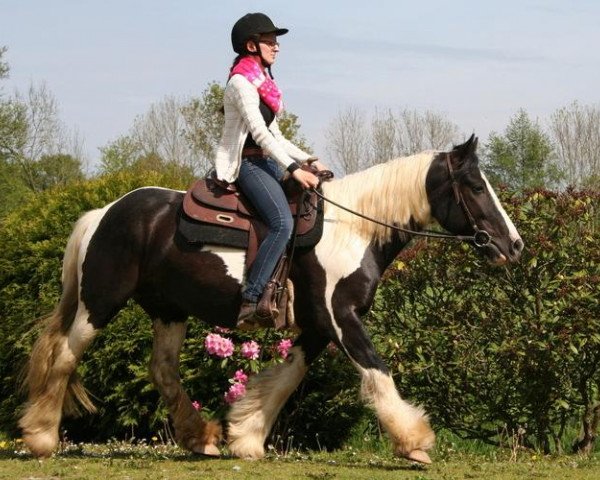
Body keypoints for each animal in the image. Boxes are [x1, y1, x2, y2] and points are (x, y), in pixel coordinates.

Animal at [21, 134, 524, 462]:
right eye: (476, 187)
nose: (514, 245)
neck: (353, 230)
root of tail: (103, 212)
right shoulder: (342, 319)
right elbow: (377, 372)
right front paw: (415, 441)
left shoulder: (319, 327)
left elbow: (287, 377)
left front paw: (246, 435)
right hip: (100, 303)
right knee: (65, 357)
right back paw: (41, 437)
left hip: (169, 311)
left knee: (162, 371)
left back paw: (200, 437)